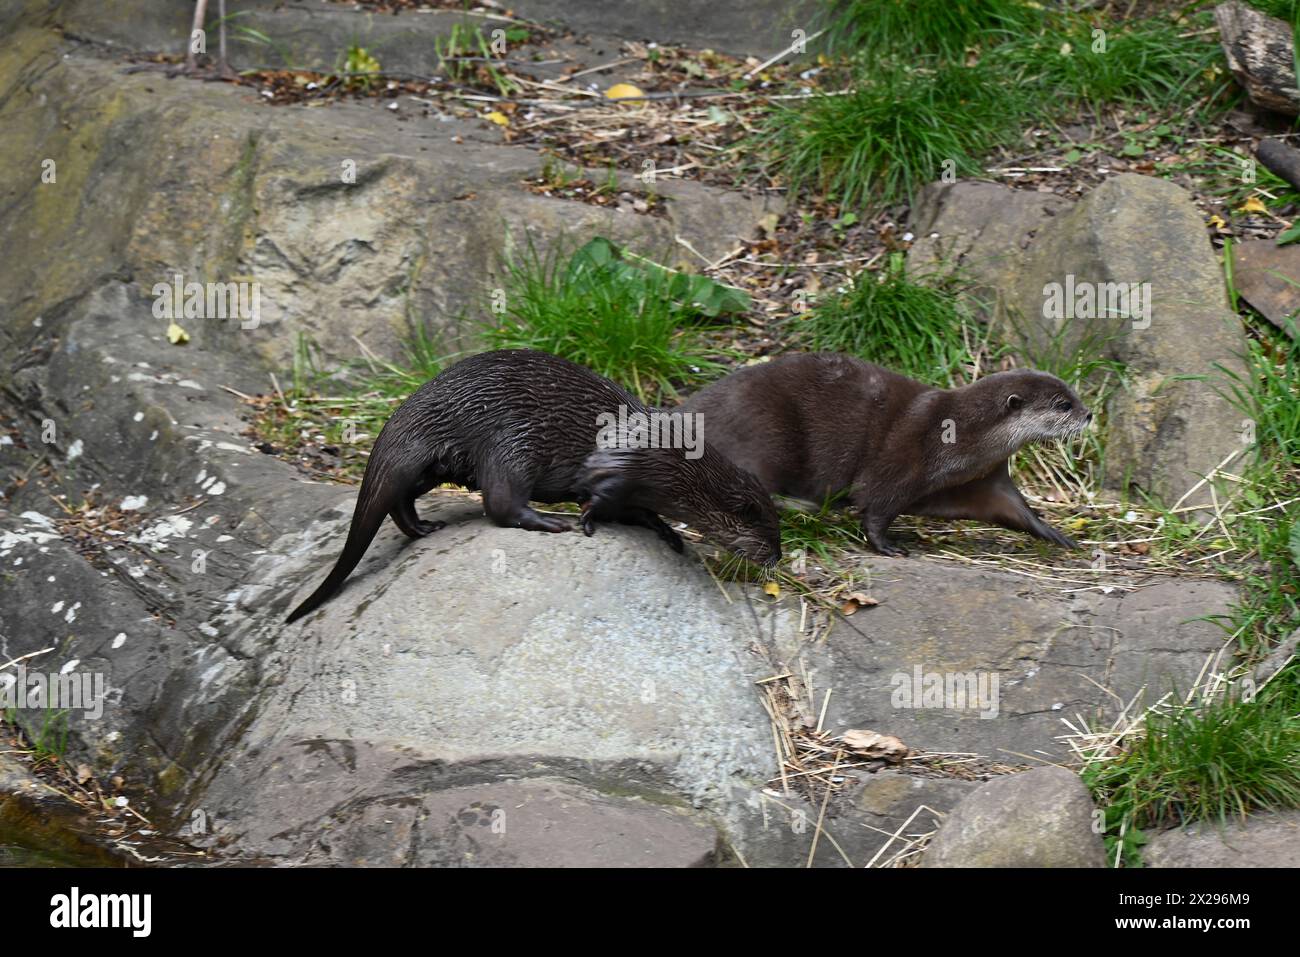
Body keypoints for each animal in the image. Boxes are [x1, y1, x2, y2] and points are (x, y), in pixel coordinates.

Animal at [286, 348, 780, 624]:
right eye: (769, 532)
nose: (775, 558)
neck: (677, 465)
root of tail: (418, 407)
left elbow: (640, 511)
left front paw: (667, 532)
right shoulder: (624, 464)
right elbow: (602, 497)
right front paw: (586, 520)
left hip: (440, 465)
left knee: (402, 496)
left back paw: (422, 529)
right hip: (512, 443)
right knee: (500, 504)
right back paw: (547, 521)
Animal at [676, 356, 1092, 556]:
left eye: (1075, 395)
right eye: (1063, 404)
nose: (1089, 415)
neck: (960, 438)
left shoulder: (986, 478)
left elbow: (1013, 508)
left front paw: (1056, 535)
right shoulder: (904, 458)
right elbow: (876, 502)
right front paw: (887, 545)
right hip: (767, 432)